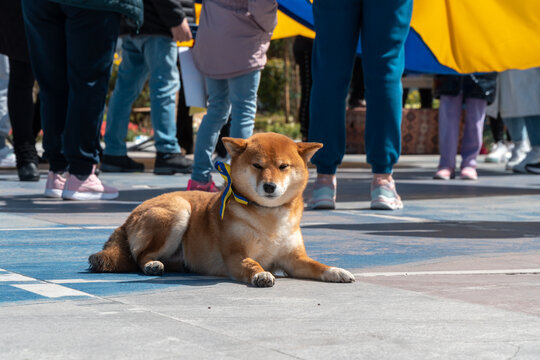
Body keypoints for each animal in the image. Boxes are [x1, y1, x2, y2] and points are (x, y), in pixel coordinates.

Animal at [89, 132, 354, 286]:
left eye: (283, 166)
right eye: (257, 165)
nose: (269, 186)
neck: (269, 219)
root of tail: (128, 217)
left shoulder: (294, 259)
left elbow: (317, 266)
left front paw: (336, 271)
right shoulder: (235, 255)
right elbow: (252, 263)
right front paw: (260, 274)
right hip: (179, 211)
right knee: (140, 256)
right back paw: (152, 265)